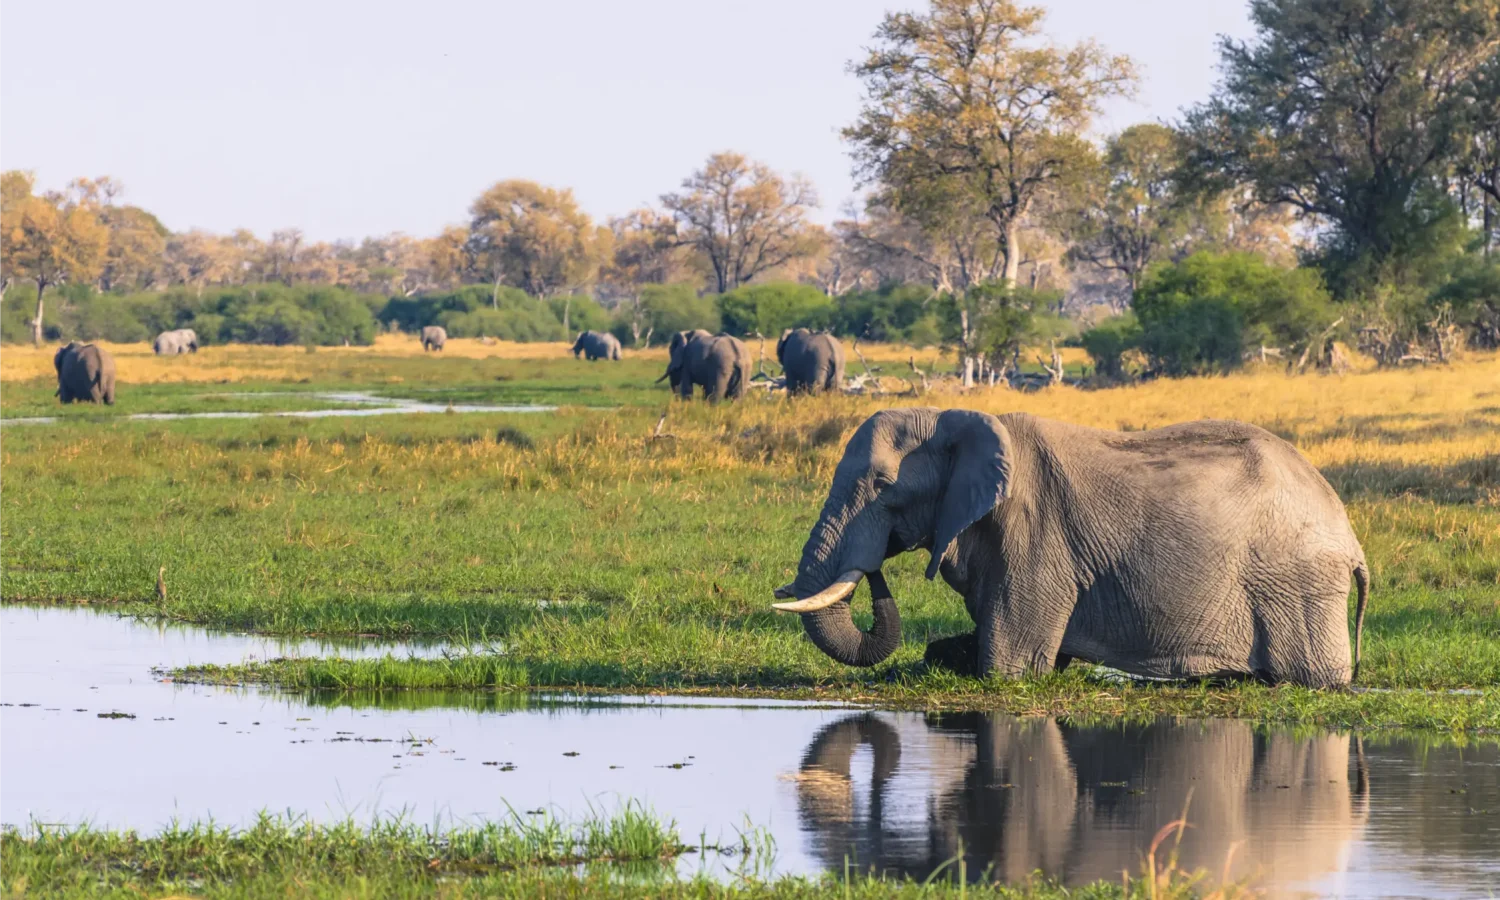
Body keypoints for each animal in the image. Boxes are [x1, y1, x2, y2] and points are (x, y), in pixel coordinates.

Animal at [772, 408, 1370, 687]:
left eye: (881, 485)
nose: (874, 566)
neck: (956, 418)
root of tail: (1350, 538)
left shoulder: (1037, 536)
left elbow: (1008, 667)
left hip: (1297, 584)